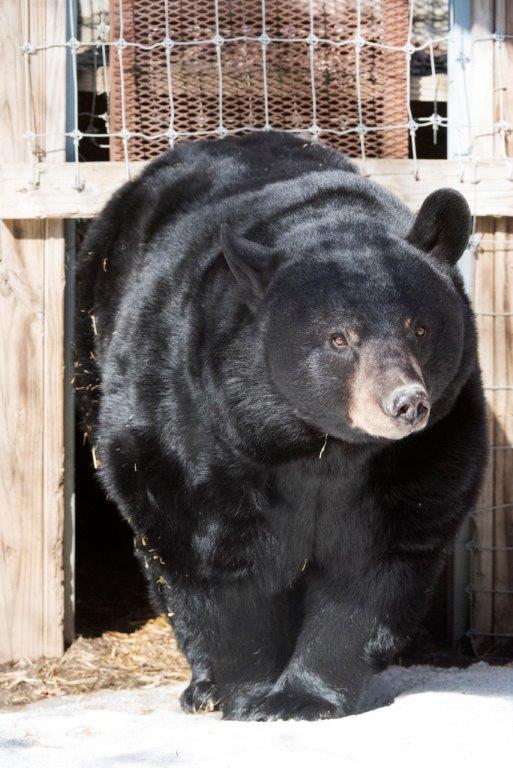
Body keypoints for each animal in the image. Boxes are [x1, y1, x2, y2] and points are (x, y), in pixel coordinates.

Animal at [76, 130, 486, 721]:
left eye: (421, 327)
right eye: (339, 338)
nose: (406, 403)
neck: (321, 445)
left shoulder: (430, 444)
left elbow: (378, 558)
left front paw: (300, 697)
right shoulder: (200, 423)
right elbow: (213, 552)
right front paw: (248, 695)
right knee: (159, 552)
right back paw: (202, 687)